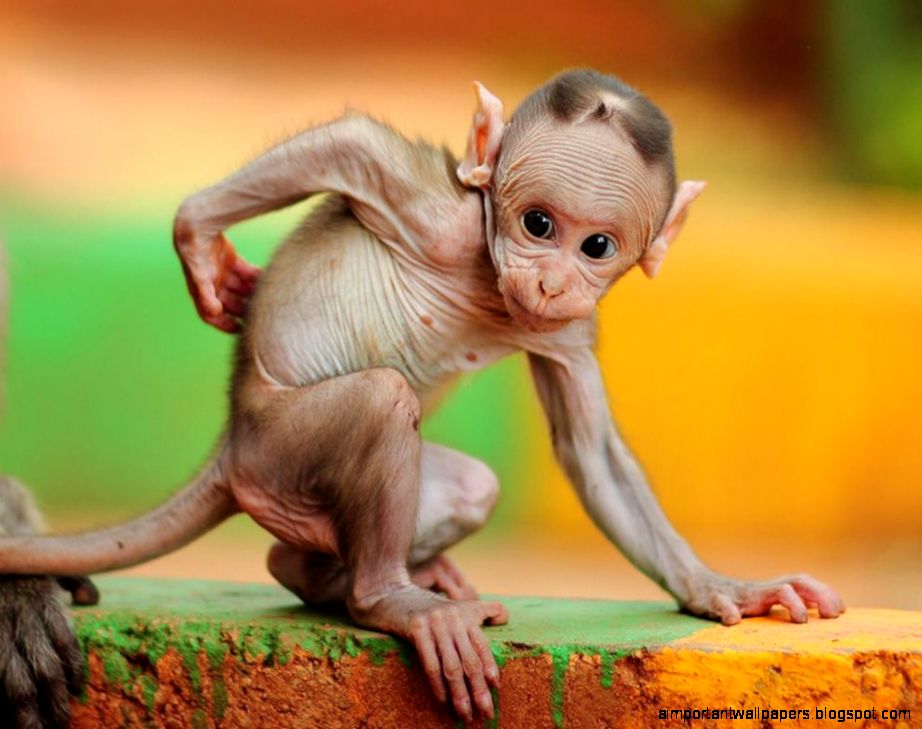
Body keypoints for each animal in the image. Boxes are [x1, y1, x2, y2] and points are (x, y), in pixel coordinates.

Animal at [0, 70, 844, 722]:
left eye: (596, 245)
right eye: (538, 223)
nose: (550, 280)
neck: (491, 281)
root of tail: (232, 440)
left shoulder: (570, 326)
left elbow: (590, 453)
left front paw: (717, 586)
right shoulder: (438, 217)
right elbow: (350, 145)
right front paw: (197, 237)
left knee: (465, 486)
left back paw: (325, 575)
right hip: (276, 450)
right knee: (381, 401)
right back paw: (389, 599)